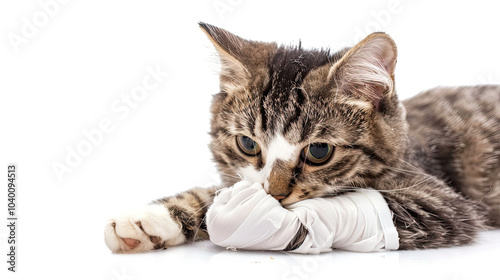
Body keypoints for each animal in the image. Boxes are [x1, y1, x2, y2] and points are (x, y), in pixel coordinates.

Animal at [102, 22, 500, 254]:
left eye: (319, 151)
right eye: (248, 144)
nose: (275, 195)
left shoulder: (441, 201)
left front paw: (259, 219)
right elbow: (218, 192)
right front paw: (149, 218)